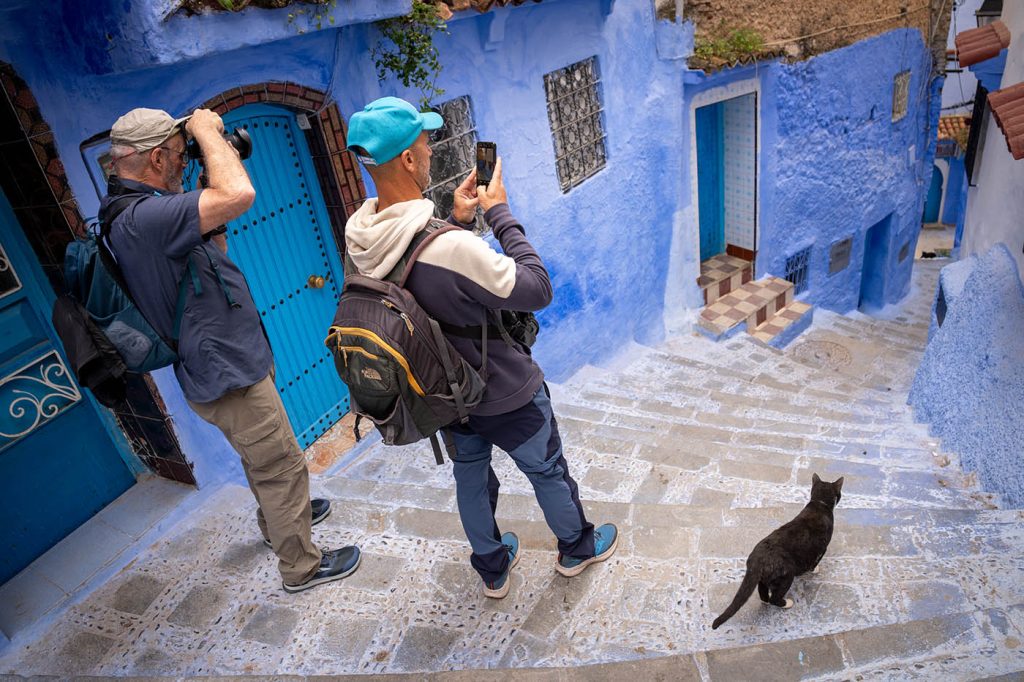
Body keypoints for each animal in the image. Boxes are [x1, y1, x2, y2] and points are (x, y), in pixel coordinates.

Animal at [708, 473, 843, 626]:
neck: (819, 504)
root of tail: (757, 559)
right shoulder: (822, 548)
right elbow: (815, 561)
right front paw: (814, 569)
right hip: (786, 575)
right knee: (775, 597)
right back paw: (787, 603)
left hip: (764, 578)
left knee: (762, 591)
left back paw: (765, 601)